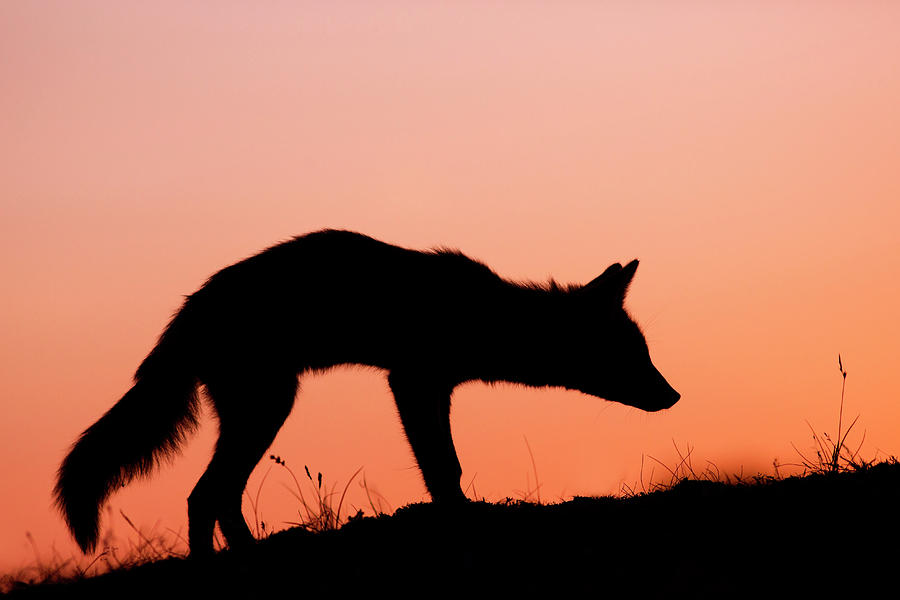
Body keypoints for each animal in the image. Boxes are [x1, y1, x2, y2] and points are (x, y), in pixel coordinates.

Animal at [54, 229, 680, 556]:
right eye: (636, 357)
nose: (673, 397)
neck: (487, 316)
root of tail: (187, 311)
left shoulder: (428, 385)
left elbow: (445, 466)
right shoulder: (413, 380)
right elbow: (443, 467)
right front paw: (458, 518)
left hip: (258, 414)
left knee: (214, 496)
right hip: (269, 409)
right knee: (203, 495)